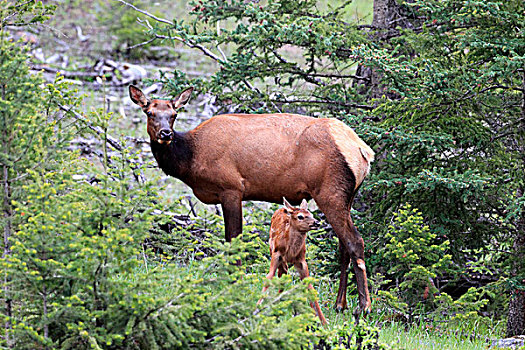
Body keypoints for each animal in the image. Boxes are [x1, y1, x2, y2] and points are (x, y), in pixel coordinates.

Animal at [129, 86, 374, 314]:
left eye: (174, 114)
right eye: (150, 112)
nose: (165, 133)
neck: (190, 158)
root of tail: (363, 151)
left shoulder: (231, 188)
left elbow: (233, 240)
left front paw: (235, 284)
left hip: (329, 193)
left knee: (355, 241)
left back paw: (364, 306)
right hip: (347, 197)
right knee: (343, 246)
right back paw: (340, 304)